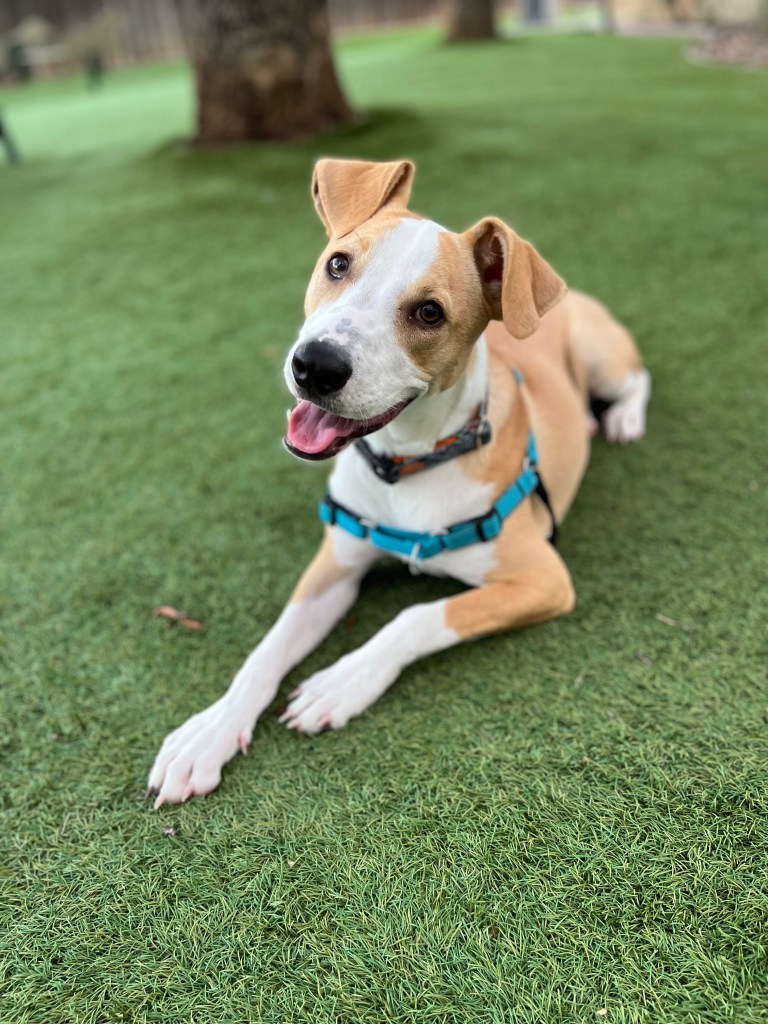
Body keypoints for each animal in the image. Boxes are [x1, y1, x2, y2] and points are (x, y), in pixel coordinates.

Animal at [148, 158, 650, 807]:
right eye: (338, 263)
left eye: (429, 313)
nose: (316, 366)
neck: (407, 463)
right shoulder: (333, 566)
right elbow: (267, 650)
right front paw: (209, 731)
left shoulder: (542, 579)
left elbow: (415, 616)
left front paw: (340, 683)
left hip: (600, 355)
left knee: (638, 379)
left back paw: (621, 419)